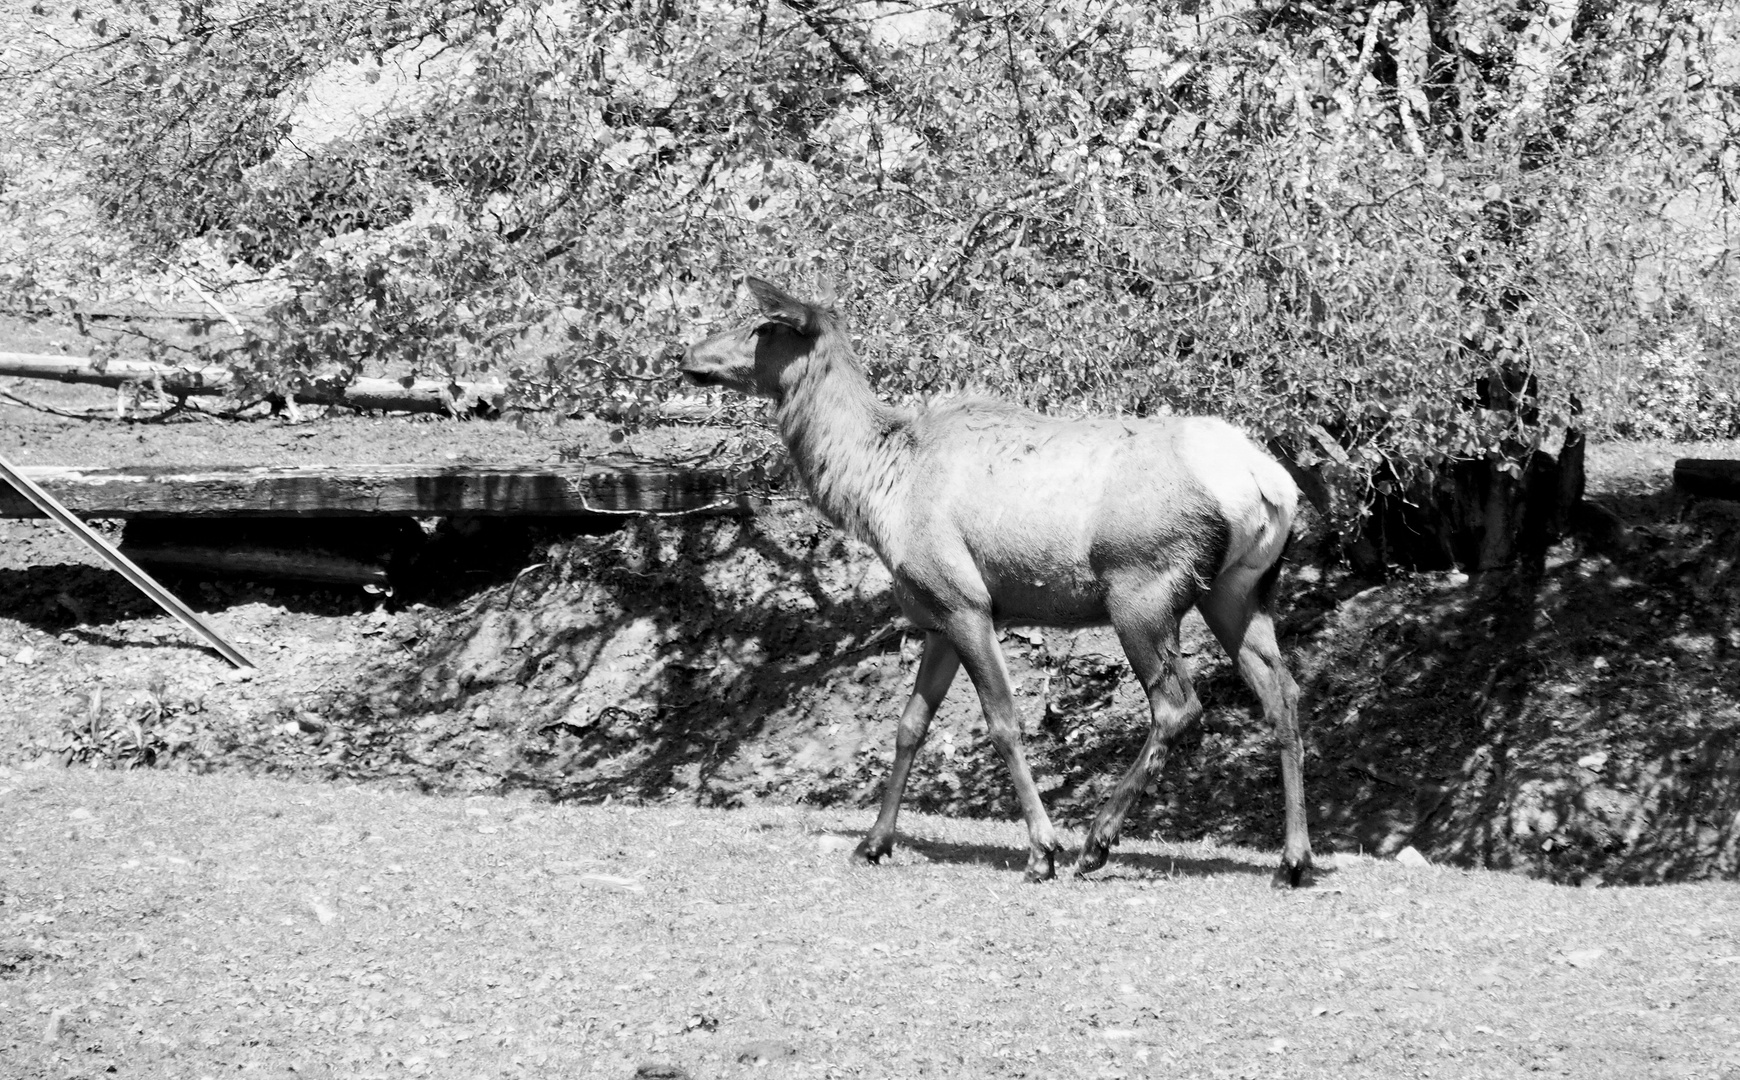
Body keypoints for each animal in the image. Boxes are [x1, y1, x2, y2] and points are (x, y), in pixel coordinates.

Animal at [678, 276, 1308, 883]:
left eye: (762, 325)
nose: (689, 354)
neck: (878, 493)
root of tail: (1269, 483)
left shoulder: (965, 601)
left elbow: (1003, 722)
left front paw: (1042, 850)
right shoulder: (935, 617)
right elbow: (910, 725)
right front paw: (873, 842)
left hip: (1142, 592)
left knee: (1178, 707)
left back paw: (1095, 844)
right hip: (1239, 592)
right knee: (1283, 694)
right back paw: (1292, 861)